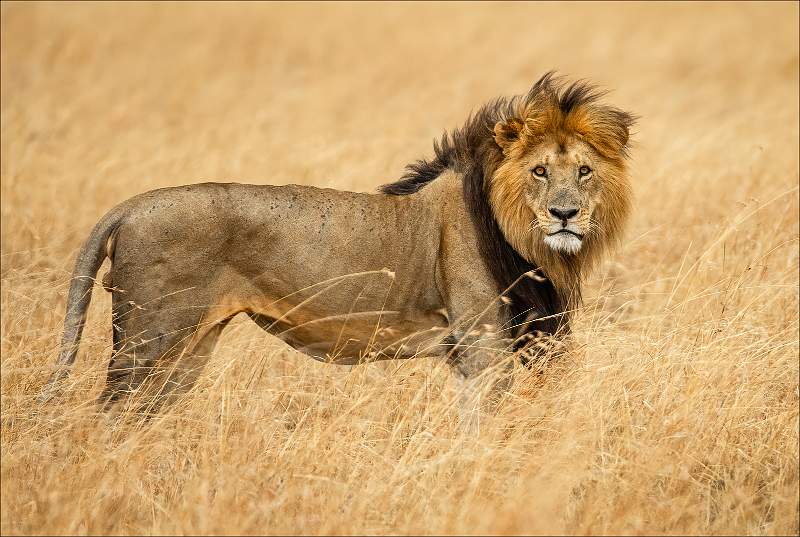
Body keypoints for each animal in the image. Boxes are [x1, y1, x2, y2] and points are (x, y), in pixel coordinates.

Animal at [39, 72, 635, 411]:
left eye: (584, 171)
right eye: (539, 171)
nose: (565, 215)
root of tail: (128, 207)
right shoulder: (481, 347)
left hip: (188, 349)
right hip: (148, 338)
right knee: (108, 413)